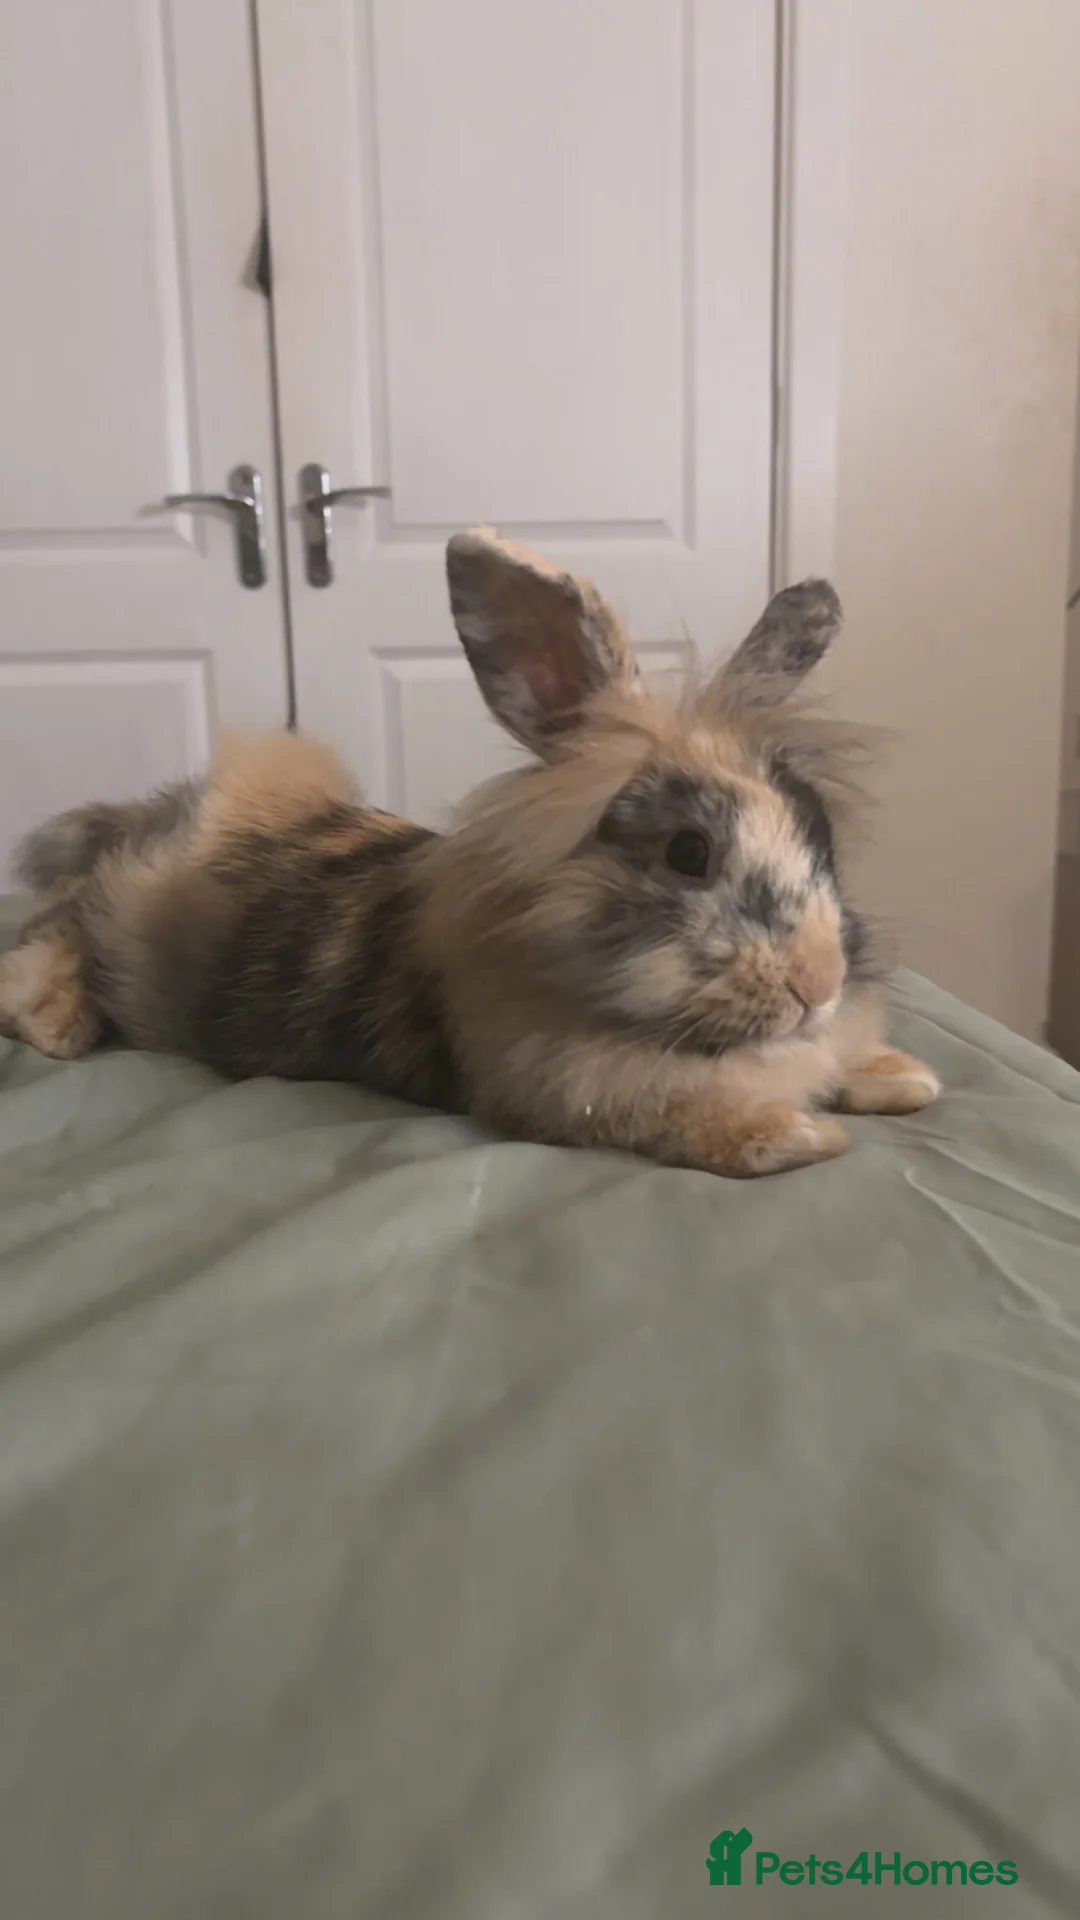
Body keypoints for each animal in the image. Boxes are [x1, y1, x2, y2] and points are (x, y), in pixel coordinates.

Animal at [0, 526, 940, 1177]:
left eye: (821, 833)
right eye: (688, 851)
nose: (819, 984)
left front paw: (903, 1078)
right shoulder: (568, 1091)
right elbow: (699, 1123)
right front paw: (802, 1135)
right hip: (113, 914)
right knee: (55, 925)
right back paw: (56, 1023)